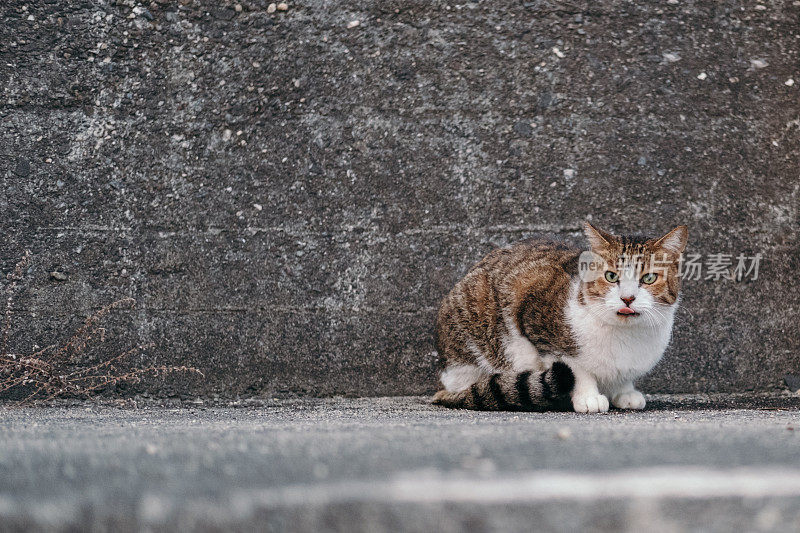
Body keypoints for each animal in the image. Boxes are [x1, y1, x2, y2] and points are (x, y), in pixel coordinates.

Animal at [432, 222, 688, 414]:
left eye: (649, 278)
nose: (627, 298)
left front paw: (624, 391)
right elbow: (575, 368)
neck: (626, 334)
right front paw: (588, 396)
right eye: (611, 276)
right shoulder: (535, 317)